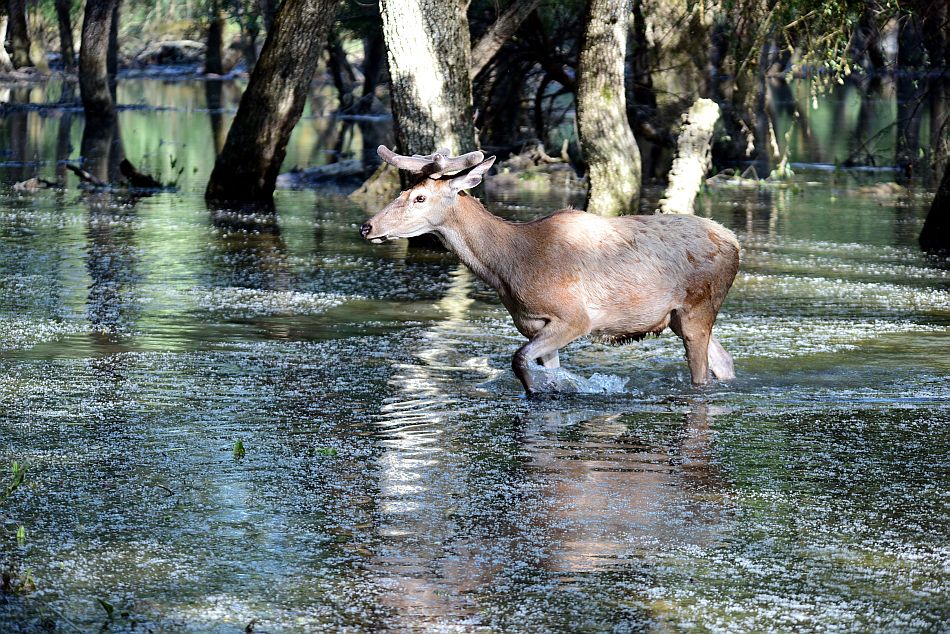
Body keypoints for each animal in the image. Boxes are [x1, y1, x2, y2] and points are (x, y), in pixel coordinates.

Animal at [360, 146, 740, 398]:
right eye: (404, 190)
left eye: (420, 198)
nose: (367, 226)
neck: (510, 267)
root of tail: (735, 242)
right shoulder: (533, 324)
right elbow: (541, 367)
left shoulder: (573, 317)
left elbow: (518, 360)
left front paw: (538, 394)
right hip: (678, 316)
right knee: (723, 361)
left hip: (698, 307)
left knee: (702, 373)